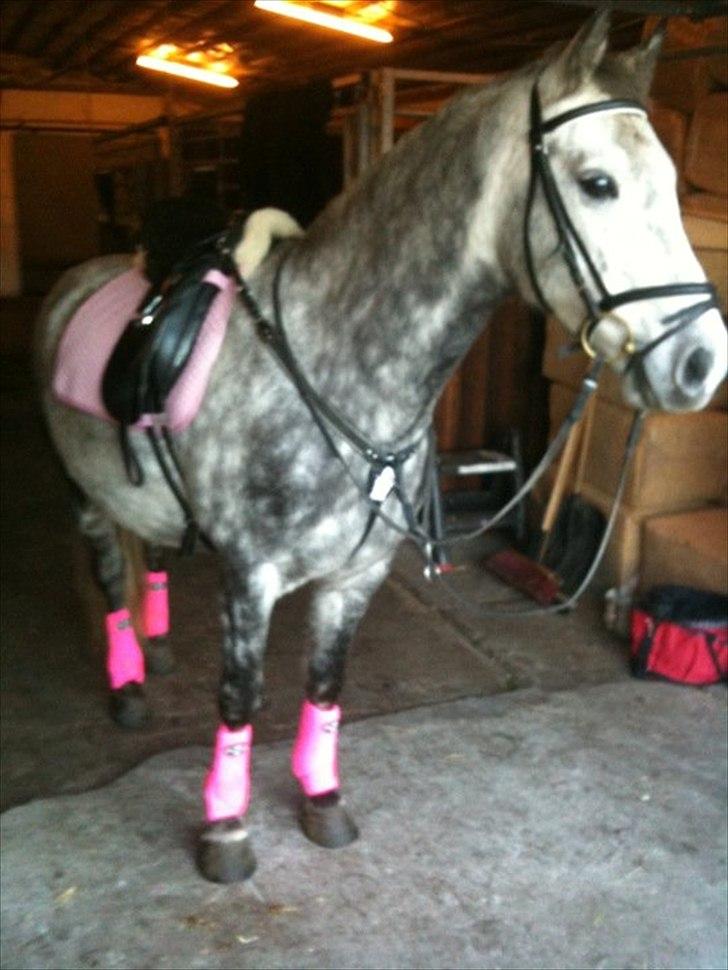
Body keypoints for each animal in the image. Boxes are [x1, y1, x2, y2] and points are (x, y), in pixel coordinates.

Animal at [34, 12, 727, 883]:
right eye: (597, 183)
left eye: (669, 182)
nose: (702, 362)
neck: (338, 363)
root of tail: (83, 275)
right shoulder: (249, 577)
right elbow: (241, 697)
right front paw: (226, 830)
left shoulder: (355, 576)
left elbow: (327, 686)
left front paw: (322, 801)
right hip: (83, 494)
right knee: (105, 570)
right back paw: (128, 686)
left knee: (152, 549)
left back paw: (154, 648)